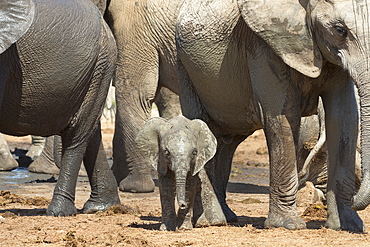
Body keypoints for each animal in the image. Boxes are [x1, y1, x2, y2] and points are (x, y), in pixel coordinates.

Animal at [176, 0, 370, 232]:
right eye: (340, 30)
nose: (356, 200)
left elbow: (344, 117)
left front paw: (348, 225)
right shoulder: (263, 46)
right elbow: (283, 116)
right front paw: (288, 225)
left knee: (225, 142)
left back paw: (225, 217)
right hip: (185, 70)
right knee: (202, 126)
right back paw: (210, 221)